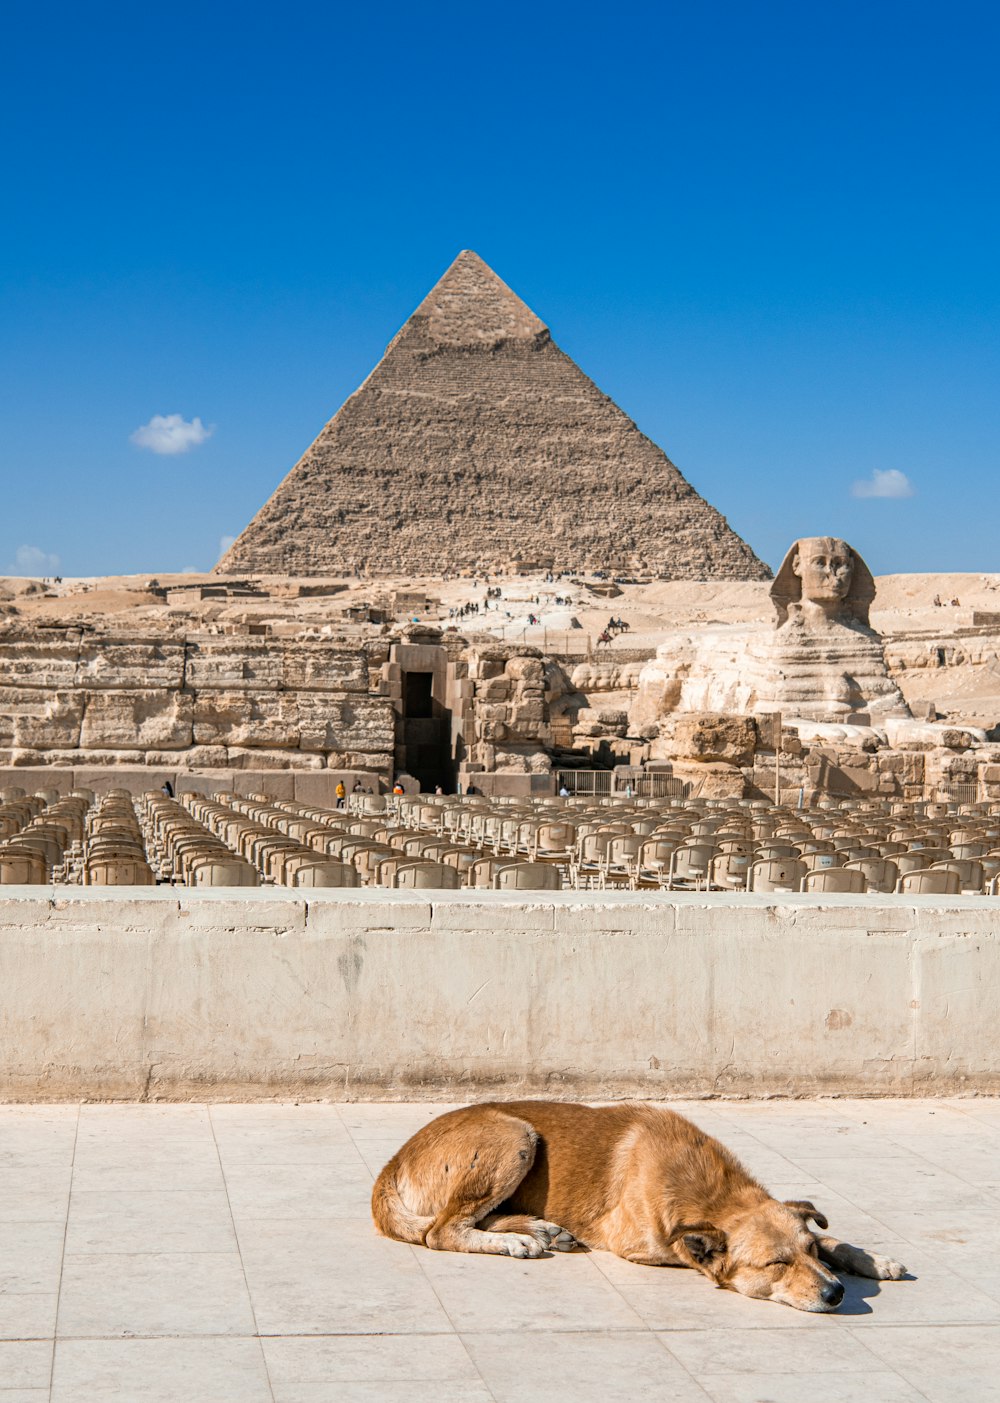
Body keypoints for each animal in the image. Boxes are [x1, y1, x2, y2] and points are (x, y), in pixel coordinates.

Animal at [373, 1094, 903, 1313]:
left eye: (806, 1254)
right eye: (775, 1264)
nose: (836, 1293)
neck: (709, 1188)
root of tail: (394, 1159)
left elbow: (830, 1236)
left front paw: (871, 1258)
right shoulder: (640, 1244)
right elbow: (689, 1252)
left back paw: (540, 1229)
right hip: (515, 1137)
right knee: (440, 1231)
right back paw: (517, 1241)